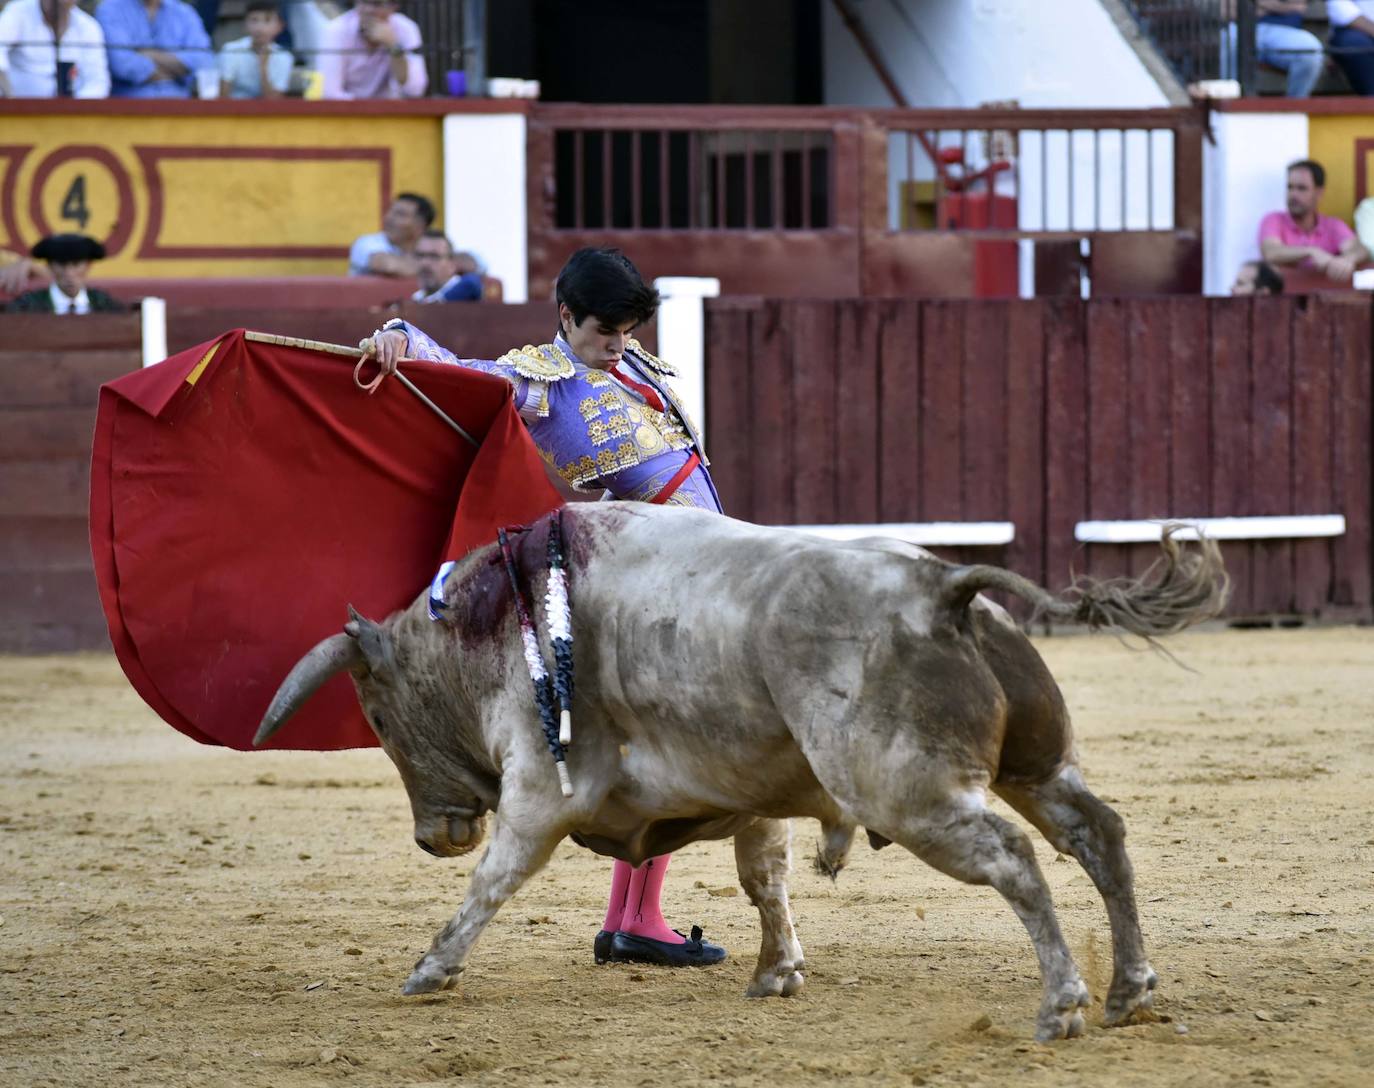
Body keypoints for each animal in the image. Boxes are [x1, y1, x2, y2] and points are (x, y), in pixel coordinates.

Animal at [255, 505, 1225, 1038]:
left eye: (379, 719)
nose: (433, 836)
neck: (503, 622)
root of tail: (941, 588)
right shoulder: (755, 793)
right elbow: (766, 878)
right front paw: (776, 973)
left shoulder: (538, 789)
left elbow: (493, 883)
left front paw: (429, 970)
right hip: (1037, 763)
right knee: (1098, 835)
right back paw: (1130, 991)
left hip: (910, 796)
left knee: (1016, 862)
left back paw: (1063, 1004)